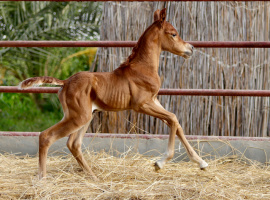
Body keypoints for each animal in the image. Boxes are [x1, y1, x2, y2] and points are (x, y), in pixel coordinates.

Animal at [19, 8, 209, 180]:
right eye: (173, 34)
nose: (191, 49)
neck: (143, 67)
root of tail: (65, 82)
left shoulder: (155, 101)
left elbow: (176, 123)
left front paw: (201, 163)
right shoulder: (142, 105)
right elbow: (173, 118)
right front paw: (160, 163)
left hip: (84, 116)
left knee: (73, 144)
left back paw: (93, 177)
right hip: (78, 117)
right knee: (46, 136)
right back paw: (42, 179)